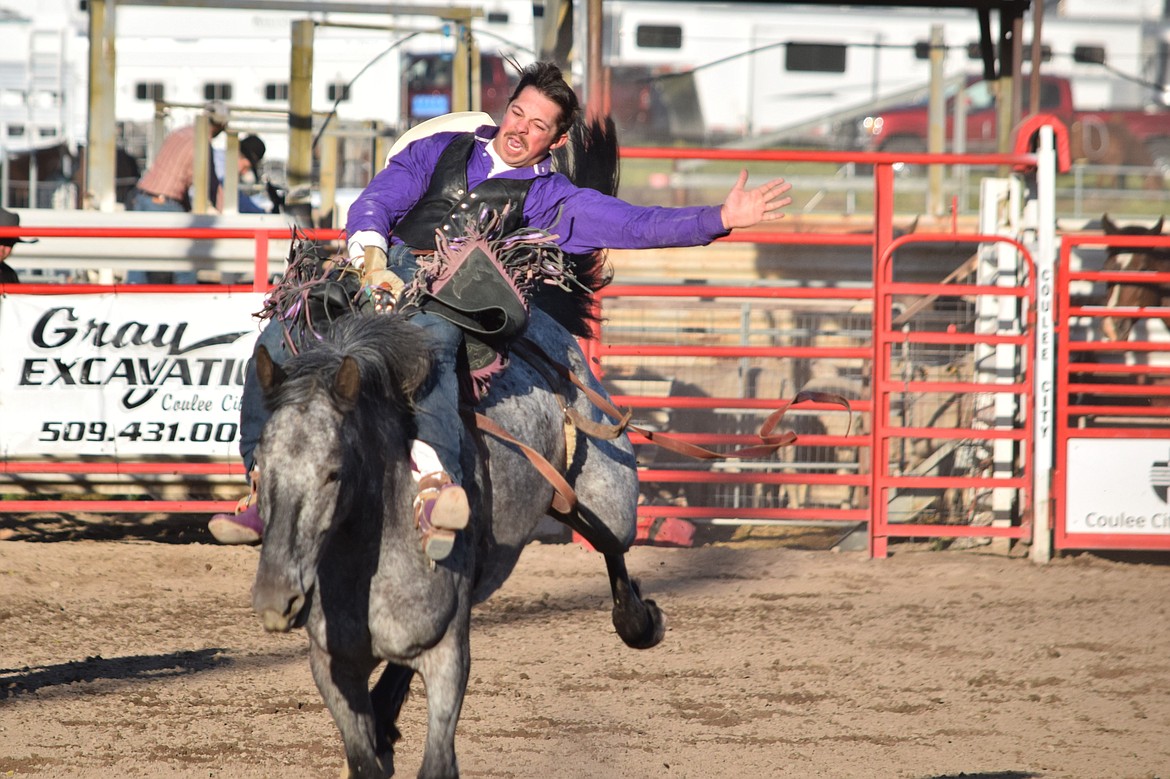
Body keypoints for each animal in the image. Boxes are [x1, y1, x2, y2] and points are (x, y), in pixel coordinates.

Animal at [250, 116, 664, 776]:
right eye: (261, 467)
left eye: (336, 473)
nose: (275, 599)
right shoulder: (332, 666)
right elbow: (365, 757)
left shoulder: (449, 656)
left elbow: (437, 760)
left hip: (607, 501)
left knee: (611, 548)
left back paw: (639, 622)